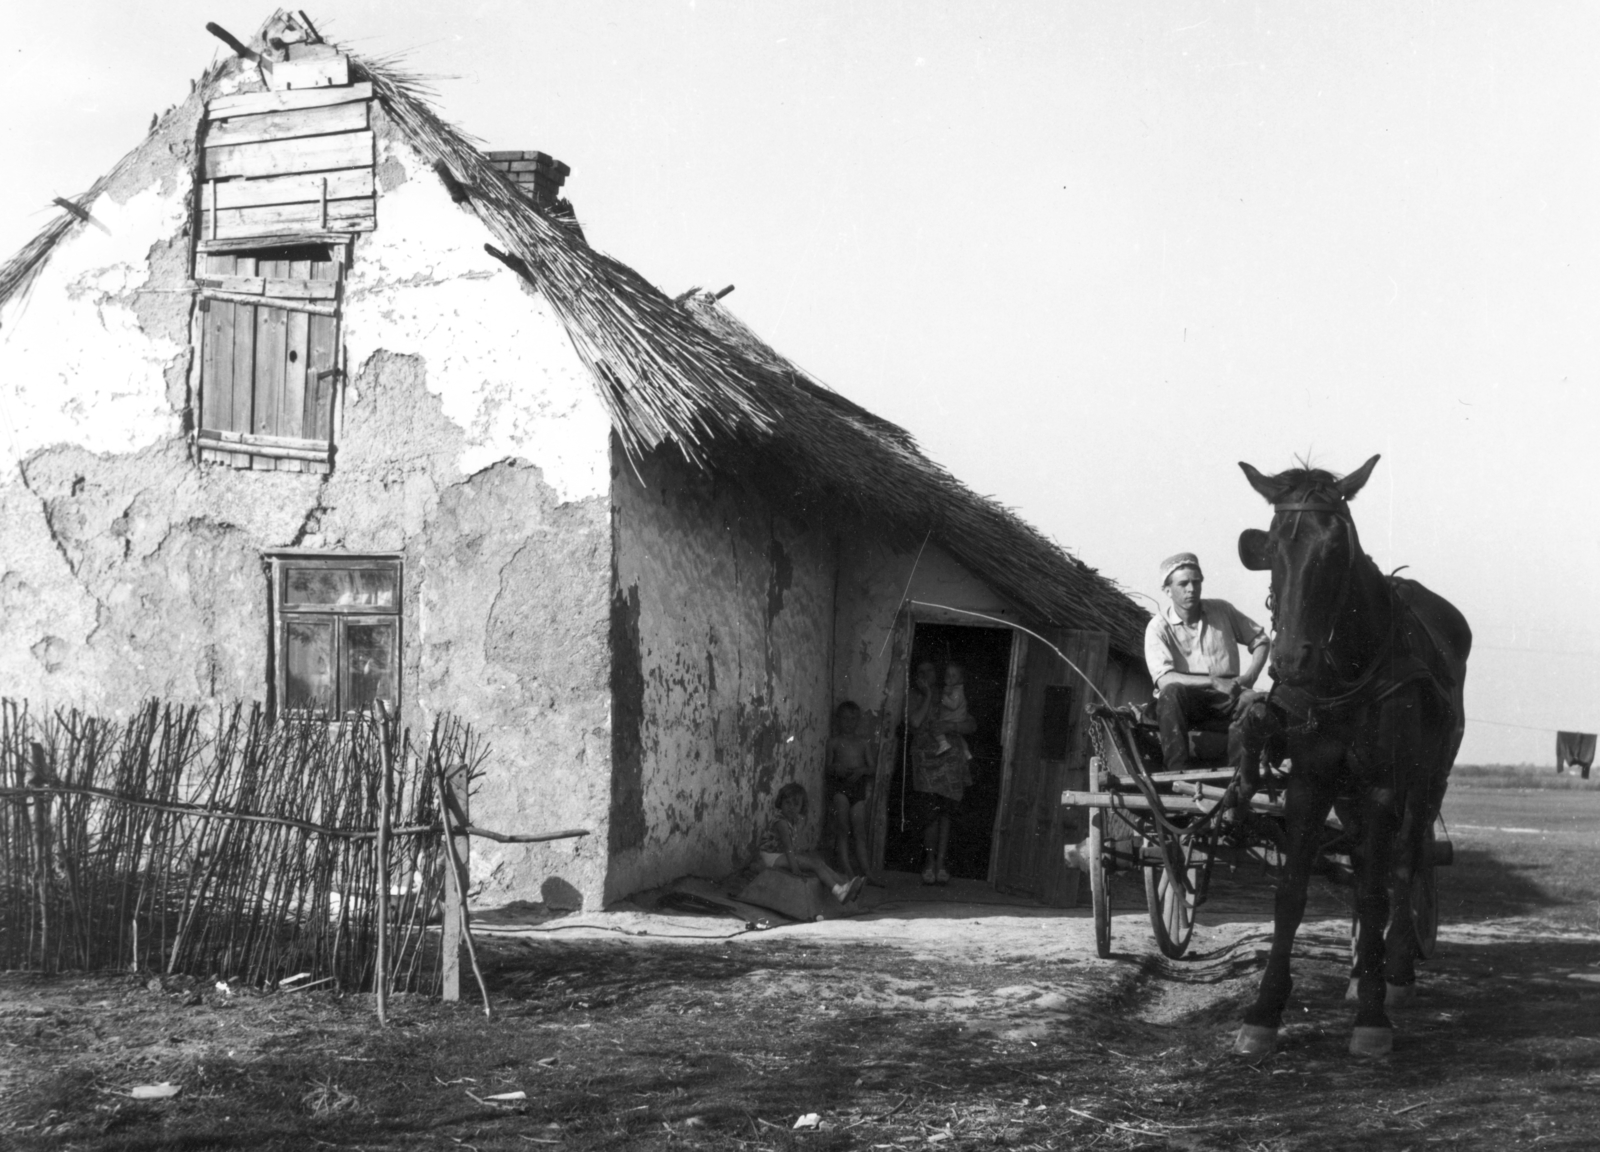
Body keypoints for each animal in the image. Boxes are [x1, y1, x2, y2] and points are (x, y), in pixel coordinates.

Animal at [1228, 454, 1465, 1056]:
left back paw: (1394, 973)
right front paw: (1264, 1010)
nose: (1291, 658)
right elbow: (1292, 892)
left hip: (1428, 782)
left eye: (1337, 548)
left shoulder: (1383, 784)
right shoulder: (1312, 781)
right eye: (1271, 548)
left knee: (1405, 862)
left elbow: (1379, 891)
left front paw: (1374, 1017)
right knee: (1364, 862)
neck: (1347, 671)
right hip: (1350, 795)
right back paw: (1362, 972)